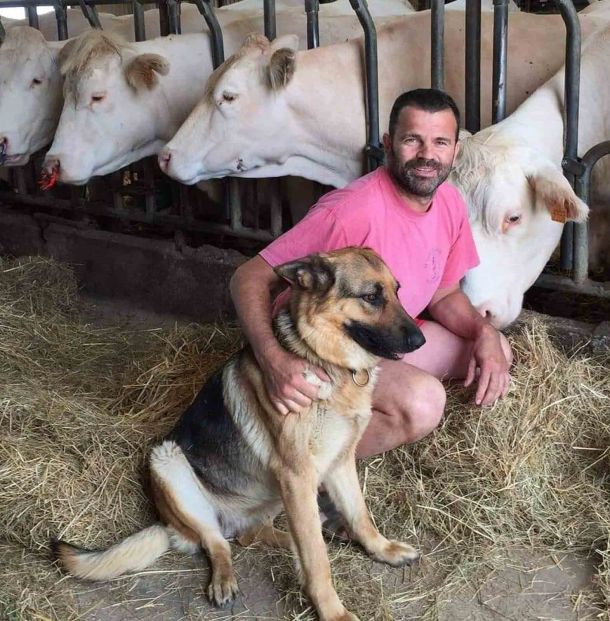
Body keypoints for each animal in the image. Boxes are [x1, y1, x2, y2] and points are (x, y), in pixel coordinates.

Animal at [53, 247, 422, 620]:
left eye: (397, 291)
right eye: (371, 296)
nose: (420, 340)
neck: (323, 359)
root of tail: (168, 524)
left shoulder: (339, 463)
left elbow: (360, 515)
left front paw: (382, 548)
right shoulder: (298, 475)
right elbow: (317, 560)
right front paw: (333, 612)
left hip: (276, 496)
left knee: (258, 534)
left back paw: (319, 533)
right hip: (169, 462)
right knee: (217, 541)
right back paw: (226, 578)